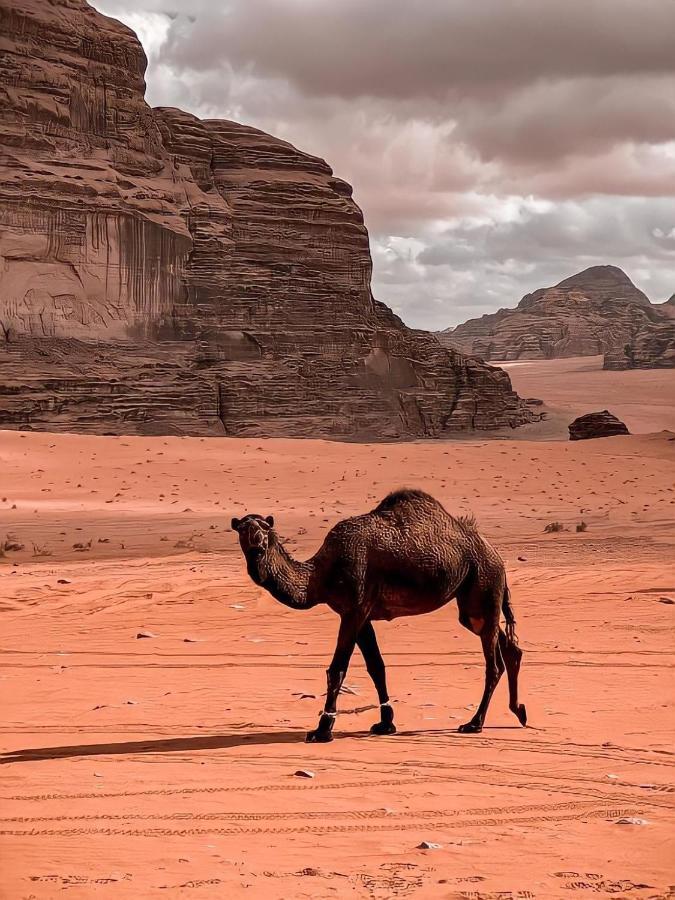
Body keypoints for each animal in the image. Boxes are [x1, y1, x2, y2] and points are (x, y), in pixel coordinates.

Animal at [234, 488, 528, 740]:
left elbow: (337, 669)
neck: (321, 575)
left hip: (484, 584)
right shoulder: (360, 615)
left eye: (265, 529)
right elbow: (376, 666)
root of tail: (495, 555)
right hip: (473, 603)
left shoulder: (354, 609)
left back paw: (474, 723)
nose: (257, 547)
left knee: (493, 663)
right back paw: (519, 711)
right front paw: (386, 723)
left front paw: (322, 729)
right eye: (243, 530)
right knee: (508, 647)